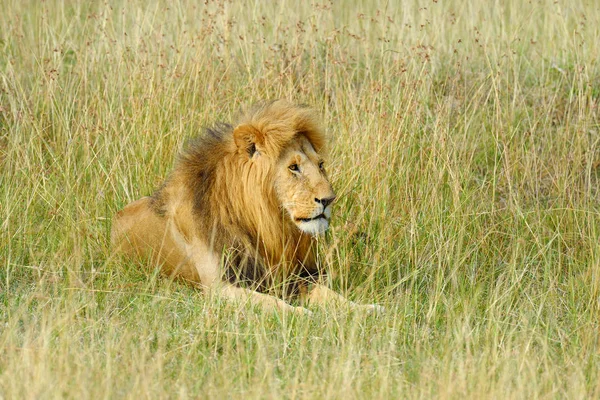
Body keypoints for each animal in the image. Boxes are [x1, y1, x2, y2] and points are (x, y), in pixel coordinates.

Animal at [112, 100, 382, 316]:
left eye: (321, 165)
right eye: (293, 167)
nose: (329, 199)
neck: (267, 226)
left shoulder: (295, 276)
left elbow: (329, 293)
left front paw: (365, 308)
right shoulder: (219, 287)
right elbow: (269, 302)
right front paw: (300, 313)